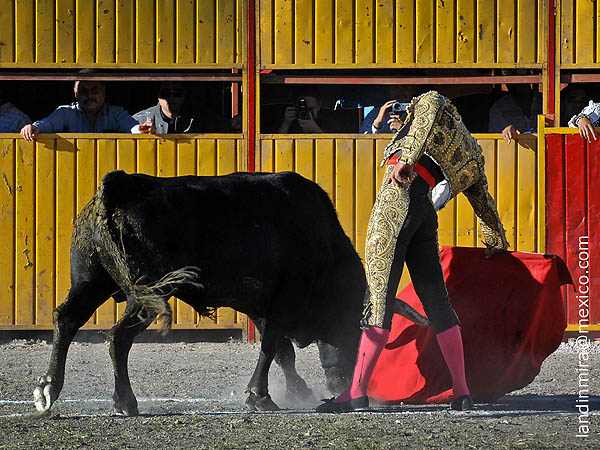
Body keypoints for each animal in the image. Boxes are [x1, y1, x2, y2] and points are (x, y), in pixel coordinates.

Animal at [36, 170, 370, 414]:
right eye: (350, 329)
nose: (341, 384)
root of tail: (118, 186)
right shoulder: (282, 301)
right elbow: (272, 346)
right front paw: (260, 397)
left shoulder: (259, 305)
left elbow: (280, 351)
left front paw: (296, 391)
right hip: (148, 294)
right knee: (118, 337)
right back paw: (125, 402)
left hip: (90, 282)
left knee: (66, 319)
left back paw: (48, 389)